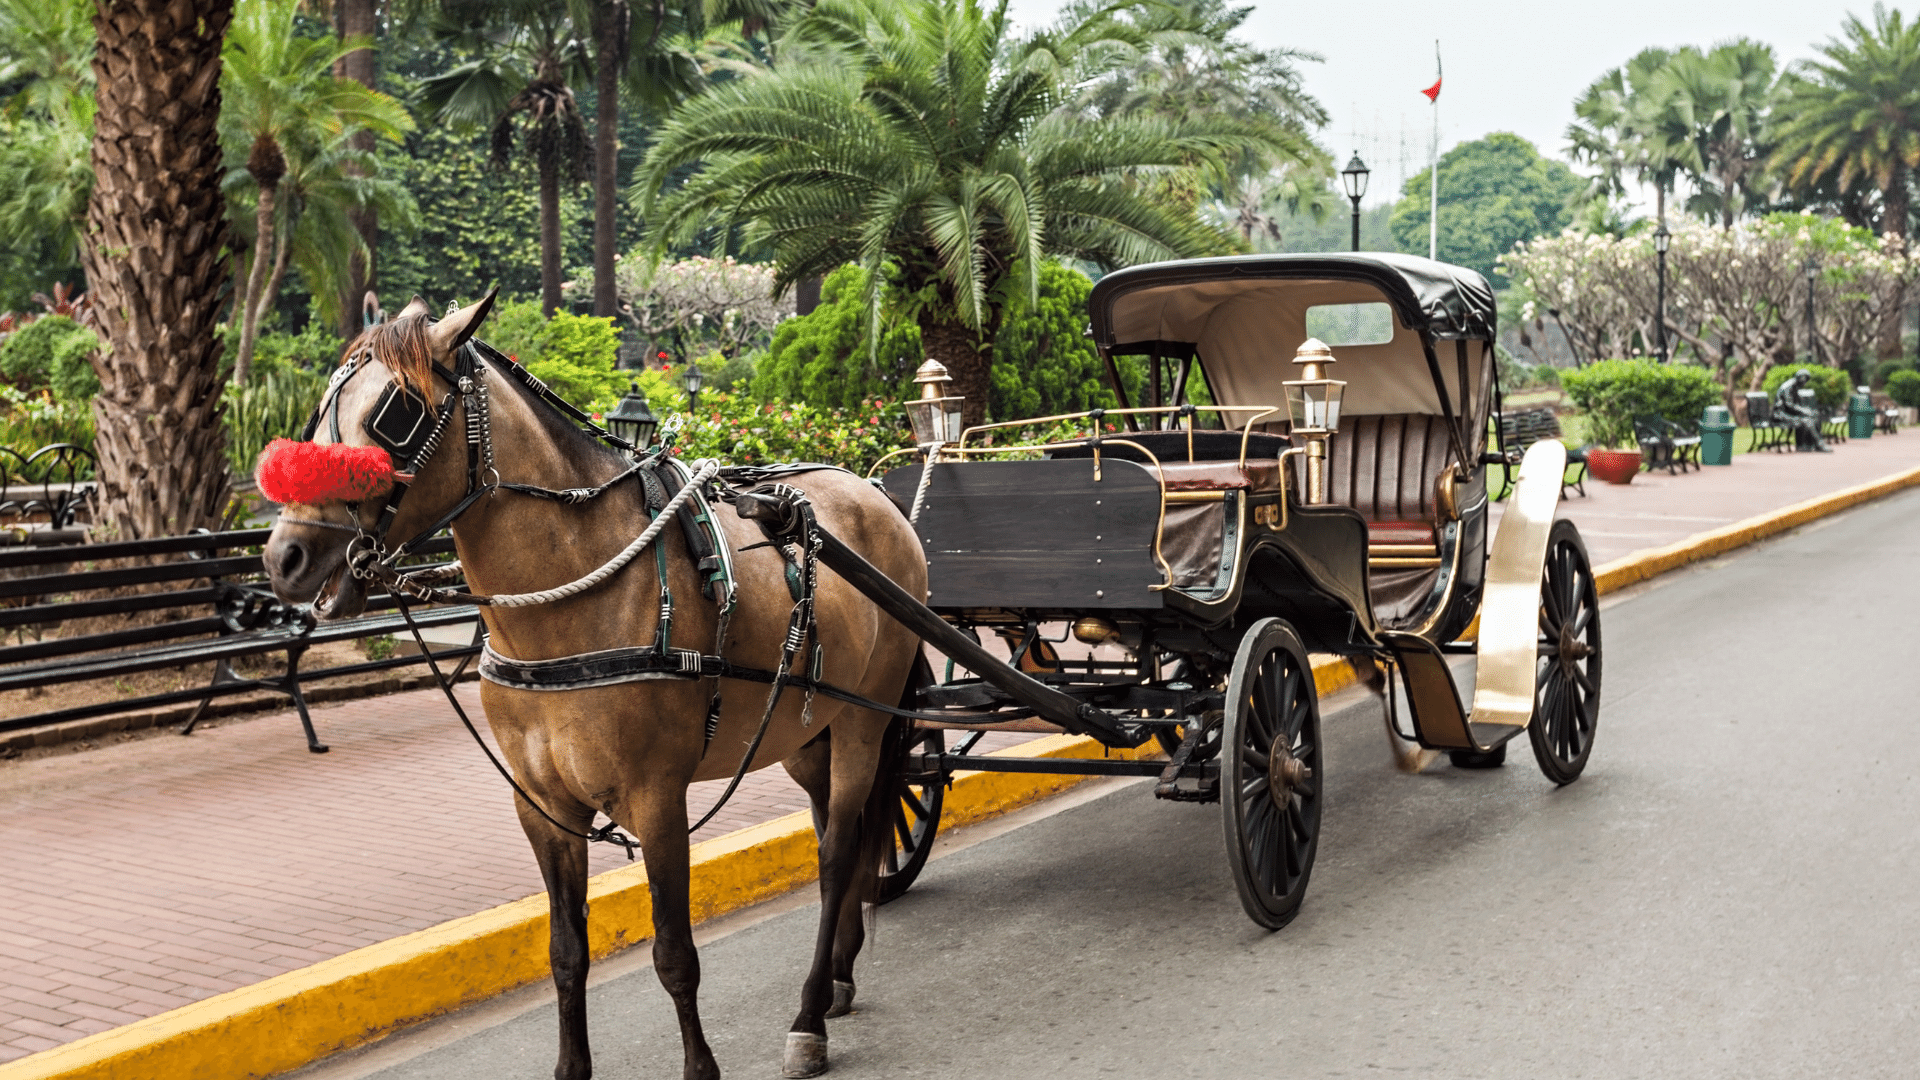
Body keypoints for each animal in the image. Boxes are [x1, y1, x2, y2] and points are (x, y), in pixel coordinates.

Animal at [264, 294, 929, 1076]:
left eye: (396, 414)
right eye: (320, 410)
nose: (285, 556)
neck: (572, 599)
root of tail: (872, 492)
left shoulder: (658, 799)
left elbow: (674, 955)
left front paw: (700, 1067)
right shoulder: (544, 808)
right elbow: (565, 953)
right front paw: (571, 1065)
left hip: (862, 722)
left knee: (836, 855)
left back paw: (808, 1016)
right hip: (805, 729)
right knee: (835, 831)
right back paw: (837, 979)